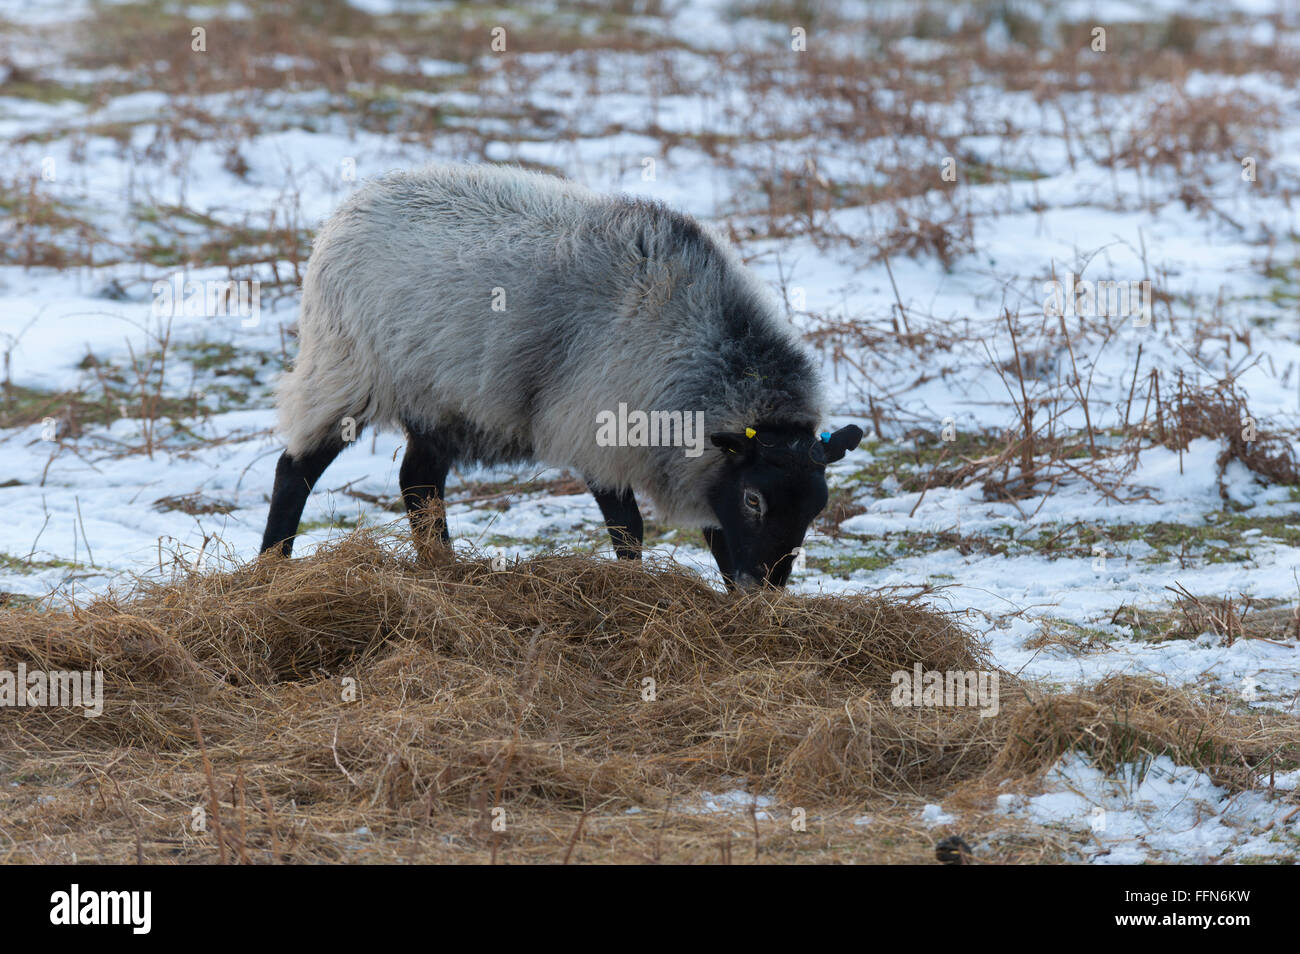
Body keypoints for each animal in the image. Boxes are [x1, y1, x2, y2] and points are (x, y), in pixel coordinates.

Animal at [260, 162, 863, 587]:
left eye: (816, 508)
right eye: (754, 501)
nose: (764, 590)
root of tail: (351, 206)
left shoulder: (698, 462)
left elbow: (716, 537)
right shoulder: (599, 428)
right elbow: (628, 528)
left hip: (441, 399)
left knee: (418, 481)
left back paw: (442, 567)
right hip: (345, 371)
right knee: (296, 470)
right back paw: (270, 567)